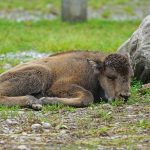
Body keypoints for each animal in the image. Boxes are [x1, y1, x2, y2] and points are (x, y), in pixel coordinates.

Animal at [0, 51, 133, 109]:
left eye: (130, 76)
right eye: (110, 76)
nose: (125, 96)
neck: (94, 71)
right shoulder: (59, 87)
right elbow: (87, 96)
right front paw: (46, 100)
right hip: (39, 74)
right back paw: (34, 101)